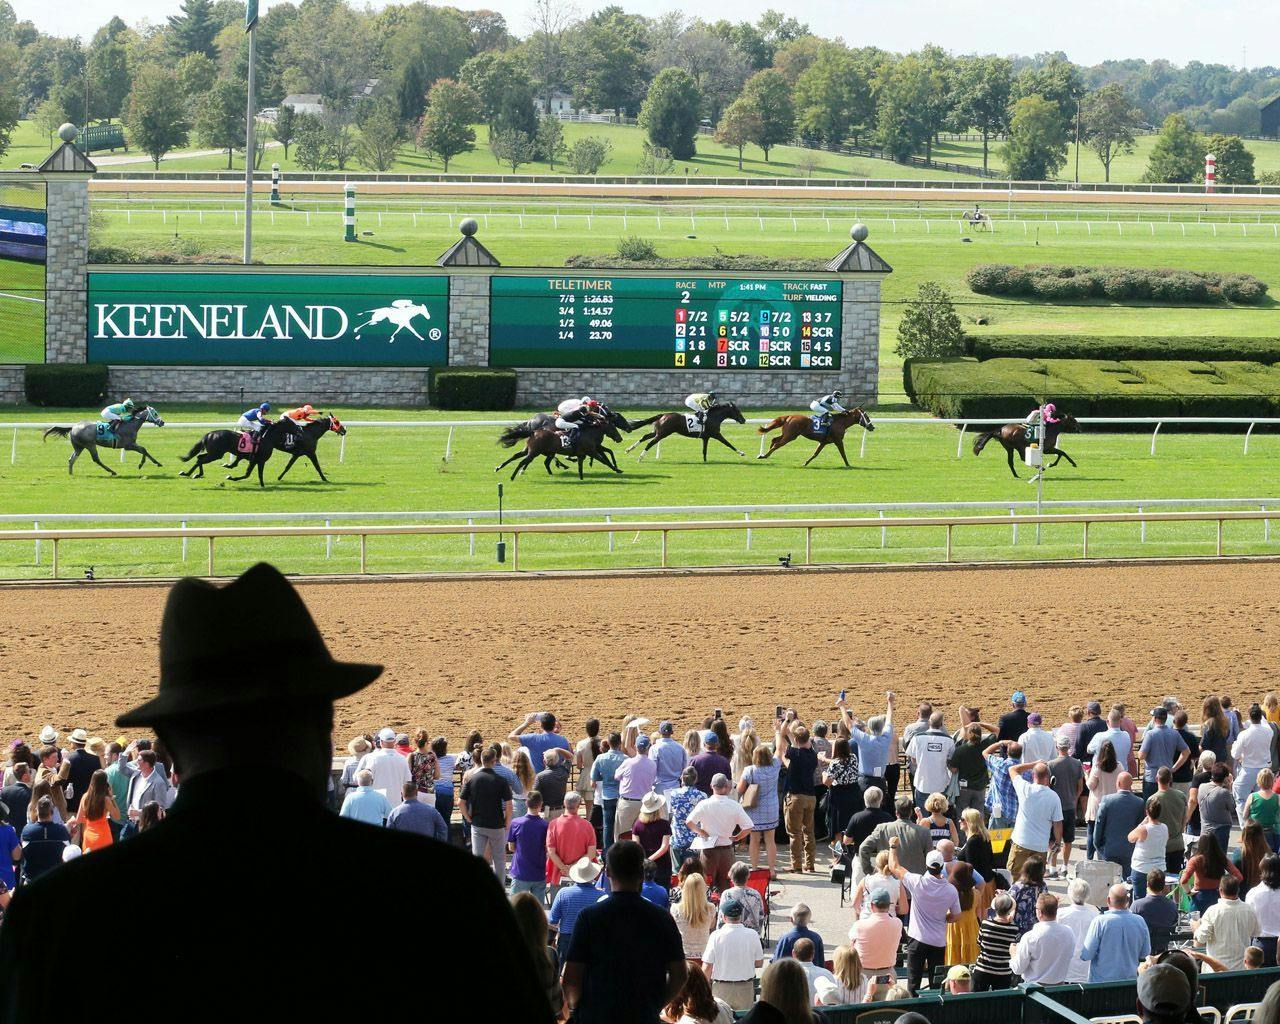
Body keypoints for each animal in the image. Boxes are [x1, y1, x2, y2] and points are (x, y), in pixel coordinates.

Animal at [494, 414, 624, 481]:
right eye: (613, 427)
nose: (620, 438)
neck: (589, 433)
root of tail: (533, 431)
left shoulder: (586, 452)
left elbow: (581, 466)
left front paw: (581, 477)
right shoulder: (592, 451)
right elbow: (604, 461)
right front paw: (617, 469)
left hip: (529, 450)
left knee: (516, 456)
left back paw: (498, 467)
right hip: (534, 452)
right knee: (523, 461)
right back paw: (513, 476)